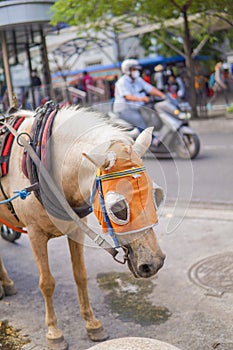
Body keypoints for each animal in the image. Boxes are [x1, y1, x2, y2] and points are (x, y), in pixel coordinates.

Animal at [0, 102, 166, 348]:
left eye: (156, 196)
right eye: (118, 208)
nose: (154, 263)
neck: (45, 167)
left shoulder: (76, 228)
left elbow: (80, 275)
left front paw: (92, 324)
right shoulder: (35, 233)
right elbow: (46, 283)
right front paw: (54, 332)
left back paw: (6, 282)